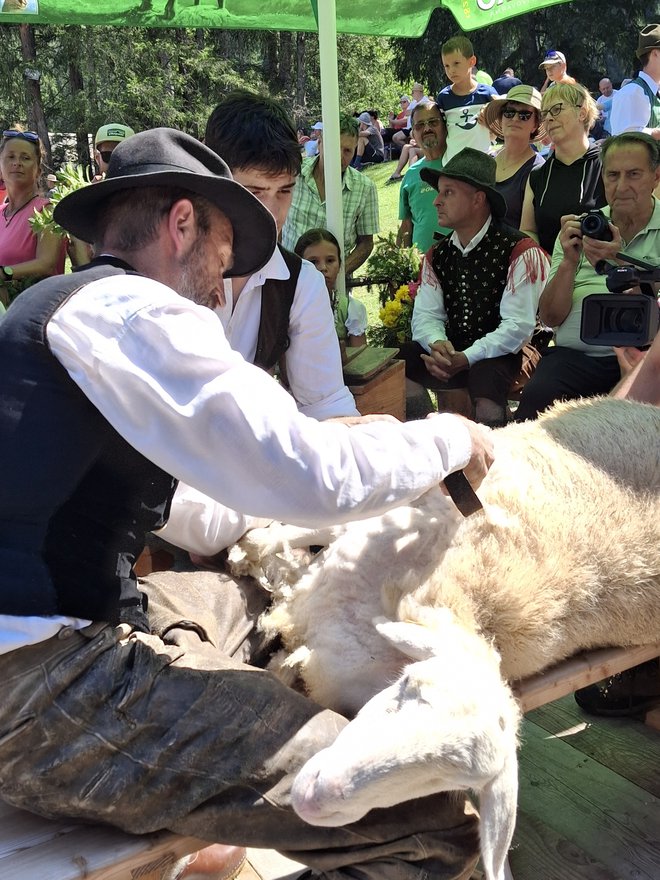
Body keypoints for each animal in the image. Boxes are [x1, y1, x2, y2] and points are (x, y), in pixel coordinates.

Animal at [232, 398, 660, 880]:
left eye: (448, 782)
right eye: (409, 688)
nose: (314, 797)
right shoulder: (387, 517)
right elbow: (297, 531)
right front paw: (248, 550)